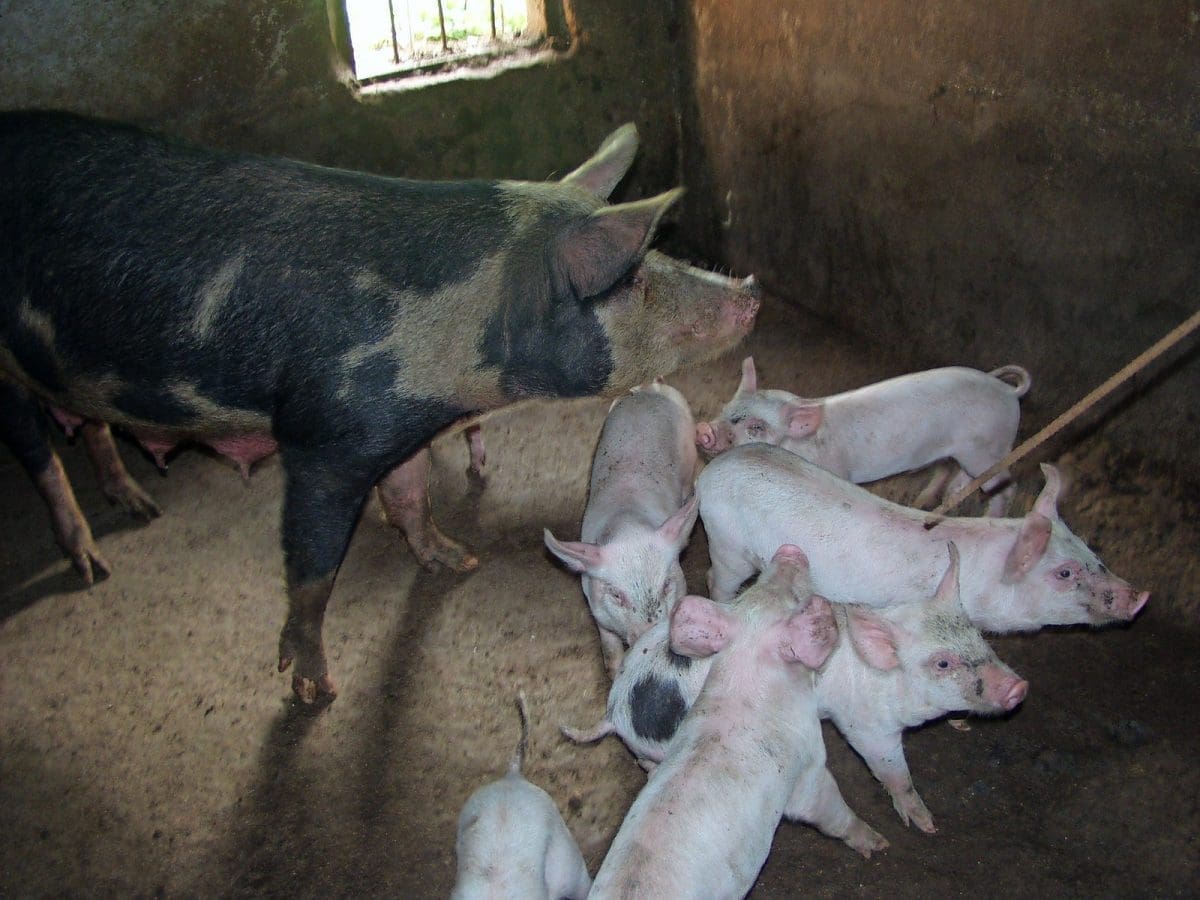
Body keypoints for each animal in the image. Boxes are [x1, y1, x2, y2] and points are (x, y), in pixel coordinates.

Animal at [544, 380, 700, 677]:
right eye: (617, 595)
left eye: (666, 585)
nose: (650, 639)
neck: (628, 524)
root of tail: (650, 387)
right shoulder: (596, 606)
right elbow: (610, 650)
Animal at [566, 543, 1028, 834]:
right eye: (942, 662)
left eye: (979, 639)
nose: (1019, 686)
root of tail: (615, 708)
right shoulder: (865, 726)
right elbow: (893, 772)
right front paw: (927, 826)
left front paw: (960, 726)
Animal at [589, 547, 887, 900]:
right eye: (795, 599)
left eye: (751, 589)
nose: (790, 550)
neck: (743, 687)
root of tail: (613, 712)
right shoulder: (806, 769)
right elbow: (827, 810)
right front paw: (878, 843)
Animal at [695, 357, 1032, 515]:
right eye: (726, 409)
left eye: (757, 427)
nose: (704, 430)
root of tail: (1008, 392)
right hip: (965, 453)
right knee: (952, 474)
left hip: (989, 450)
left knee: (1006, 487)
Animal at [698, 443, 1149, 632]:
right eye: (1065, 573)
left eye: (1094, 554)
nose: (1140, 596)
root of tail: (716, 465)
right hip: (727, 543)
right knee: (715, 577)